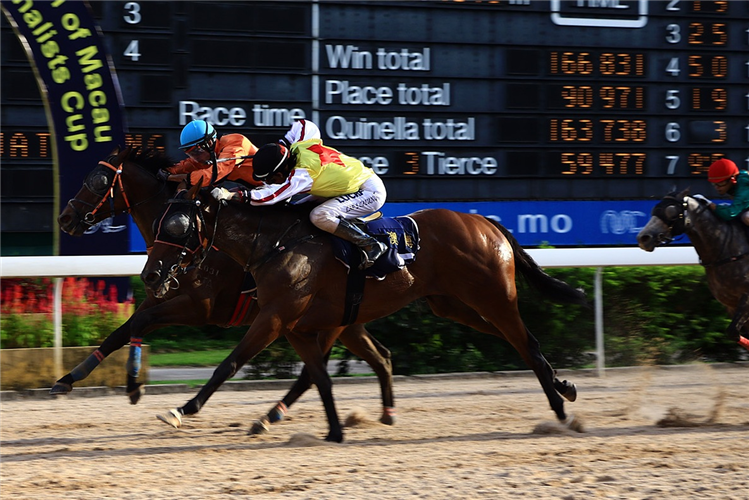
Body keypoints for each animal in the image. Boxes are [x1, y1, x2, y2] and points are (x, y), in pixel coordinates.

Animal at [53, 146, 398, 430]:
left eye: (98, 181)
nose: (65, 218)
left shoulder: (200, 308)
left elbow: (140, 323)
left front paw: (135, 387)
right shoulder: (157, 296)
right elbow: (119, 332)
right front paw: (68, 379)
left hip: (321, 321)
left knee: (315, 372)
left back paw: (270, 417)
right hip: (344, 321)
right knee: (378, 356)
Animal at [139, 180, 584, 442]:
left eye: (178, 226)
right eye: (158, 222)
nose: (150, 274)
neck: (273, 243)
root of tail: (486, 223)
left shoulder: (274, 317)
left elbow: (229, 365)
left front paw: (182, 409)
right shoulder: (295, 324)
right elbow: (319, 376)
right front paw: (335, 430)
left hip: (493, 297)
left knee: (527, 342)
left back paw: (562, 409)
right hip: (455, 306)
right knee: (520, 343)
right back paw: (564, 390)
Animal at [636, 189, 748, 350]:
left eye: (671, 212)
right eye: (654, 209)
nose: (643, 238)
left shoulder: (746, 298)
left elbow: (733, 332)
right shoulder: (730, 304)